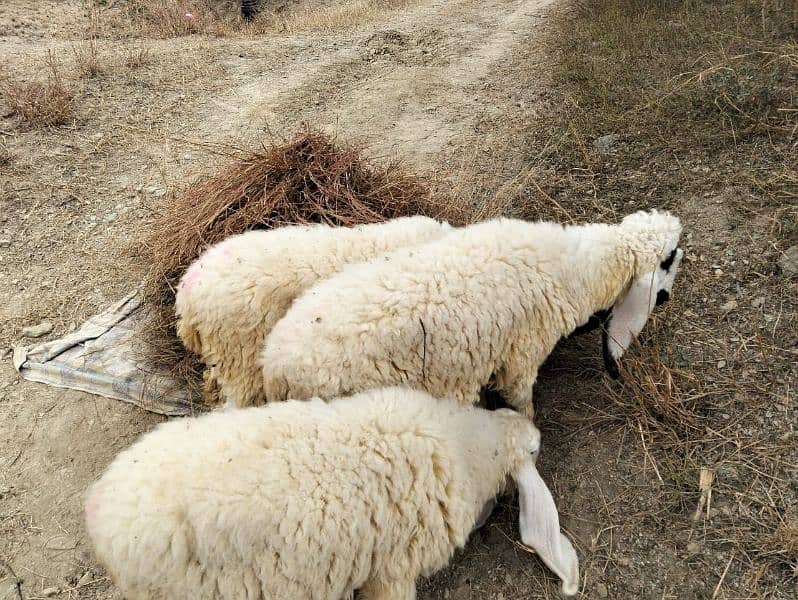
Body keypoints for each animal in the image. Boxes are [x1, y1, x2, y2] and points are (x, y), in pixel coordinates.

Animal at [264, 209, 688, 414]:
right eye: (668, 258)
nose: (667, 297)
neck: (574, 271)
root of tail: (272, 365)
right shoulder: (520, 358)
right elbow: (522, 401)